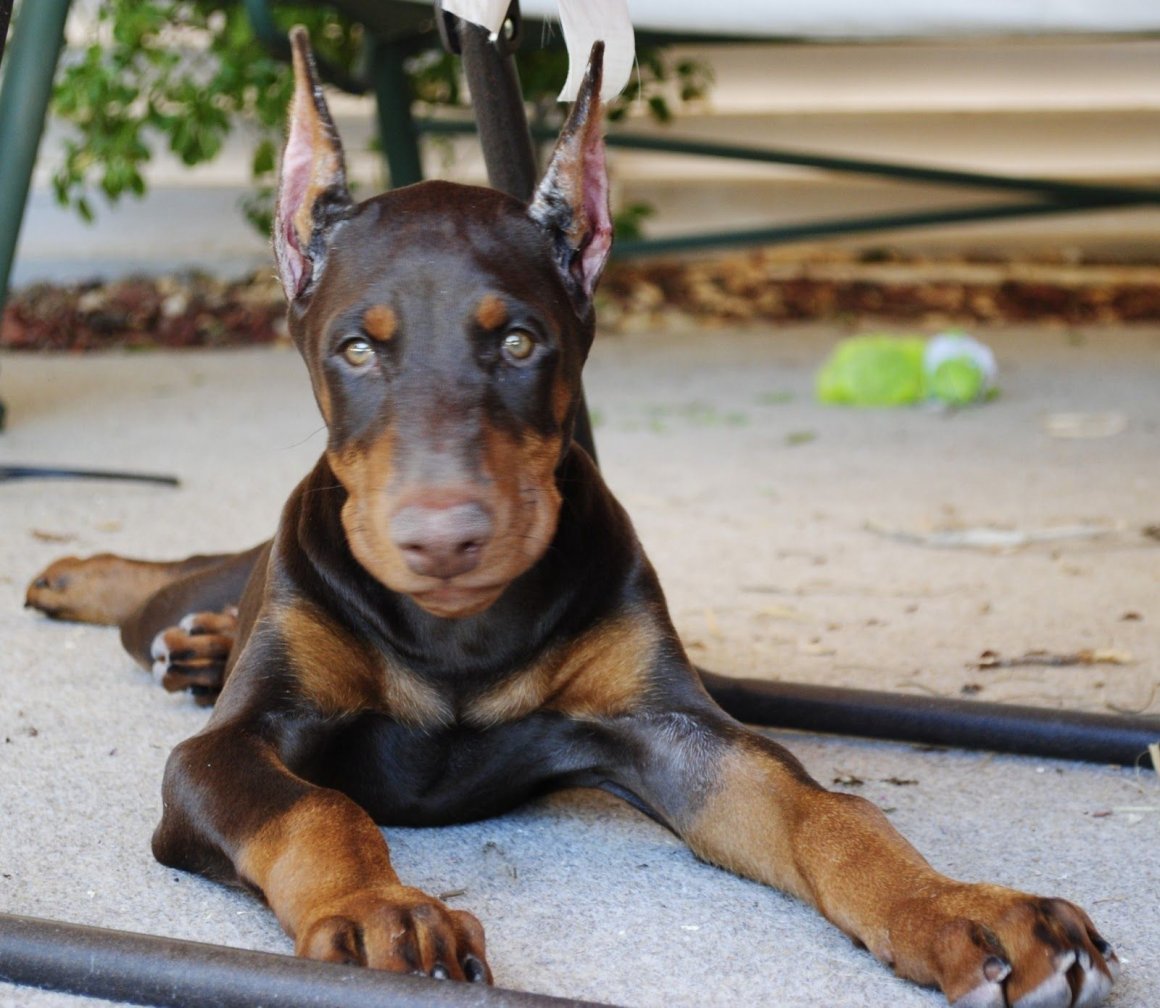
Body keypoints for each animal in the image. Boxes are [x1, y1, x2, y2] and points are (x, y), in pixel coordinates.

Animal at [24, 27, 1113, 1002]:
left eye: (518, 342)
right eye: (356, 350)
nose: (443, 540)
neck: (458, 634)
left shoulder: (672, 732)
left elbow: (826, 809)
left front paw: (961, 909)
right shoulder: (220, 752)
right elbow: (315, 810)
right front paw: (380, 911)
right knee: (178, 580)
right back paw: (93, 581)